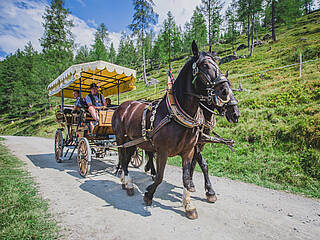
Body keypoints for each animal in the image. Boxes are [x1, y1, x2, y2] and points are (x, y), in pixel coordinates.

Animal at [111, 41, 234, 219]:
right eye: (205, 65)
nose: (225, 91)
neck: (177, 115)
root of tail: (123, 105)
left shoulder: (189, 151)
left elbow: (187, 176)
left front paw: (188, 205)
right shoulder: (163, 151)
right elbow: (160, 177)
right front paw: (148, 194)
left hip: (133, 141)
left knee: (126, 159)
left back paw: (126, 182)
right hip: (121, 138)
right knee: (122, 158)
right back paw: (128, 184)